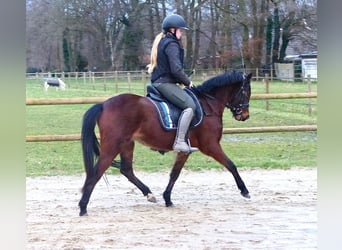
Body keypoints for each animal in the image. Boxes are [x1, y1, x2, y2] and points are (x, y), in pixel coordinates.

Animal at [79, 71, 252, 216]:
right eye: (246, 92)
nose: (245, 115)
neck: (208, 104)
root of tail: (103, 104)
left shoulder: (185, 150)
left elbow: (175, 173)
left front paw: (167, 198)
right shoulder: (210, 146)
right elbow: (231, 165)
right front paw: (244, 190)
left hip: (127, 144)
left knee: (126, 170)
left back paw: (149, 194)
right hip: (112, 146)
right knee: (96, 172)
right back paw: (83, 207)